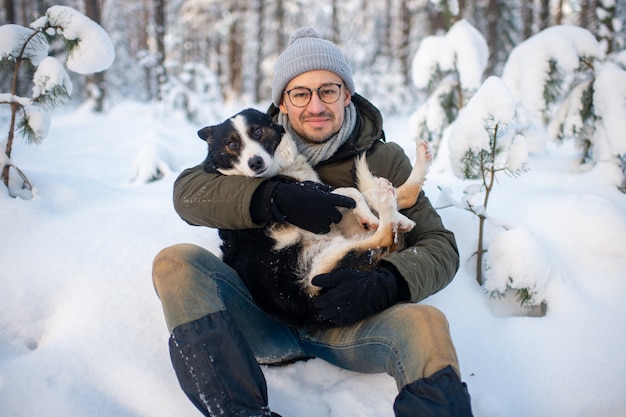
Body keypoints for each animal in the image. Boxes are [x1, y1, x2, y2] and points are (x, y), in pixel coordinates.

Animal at [197, 108, 432, 328]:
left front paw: (398, 218)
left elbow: (359, 194)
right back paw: (387, 199)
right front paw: (373, 215)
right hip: (322, 267)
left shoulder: (324, 202)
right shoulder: (315, 203)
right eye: (231, 144)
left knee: (399, 198)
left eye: (256, 131)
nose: (255, 163)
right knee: (383, 233)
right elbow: (353, 193)